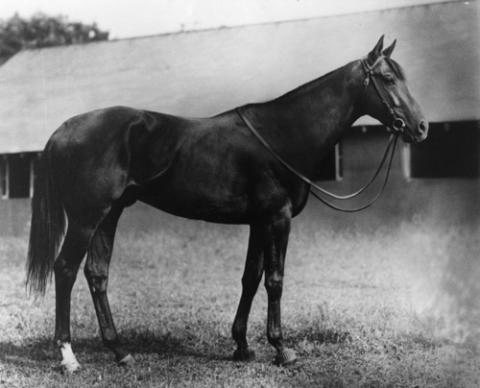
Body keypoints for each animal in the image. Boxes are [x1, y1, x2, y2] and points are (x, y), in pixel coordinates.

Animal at [25, 36, 428, 372]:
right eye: (388, 78)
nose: (420, 127)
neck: (283, 133)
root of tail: (63, 130)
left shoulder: (258, 222)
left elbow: (250, 279)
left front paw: (242, 346)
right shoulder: (277, 219)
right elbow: (275, 281)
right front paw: (281, 349)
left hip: (109, 215)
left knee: (97, 274)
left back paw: (120, 351)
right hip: (85, 218)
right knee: (65, 269)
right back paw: (68, 357)